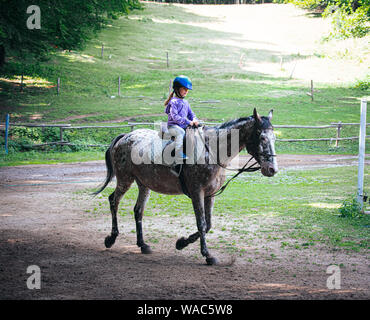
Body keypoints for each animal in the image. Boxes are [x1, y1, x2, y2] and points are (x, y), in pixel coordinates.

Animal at [94, 109, 276, 266]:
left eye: (274, 138)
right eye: (262, 138)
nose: (272, 169)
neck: (211, 150)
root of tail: (126, 136)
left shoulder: (210, 195)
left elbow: (208, 224)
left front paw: (181, 243)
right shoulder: (197, 192)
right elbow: (201, 223)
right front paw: (207, 255)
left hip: (144, 184)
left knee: (138, 211)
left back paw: (143, 245)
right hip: (125, 179)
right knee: (113, 201)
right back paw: (111, 238)